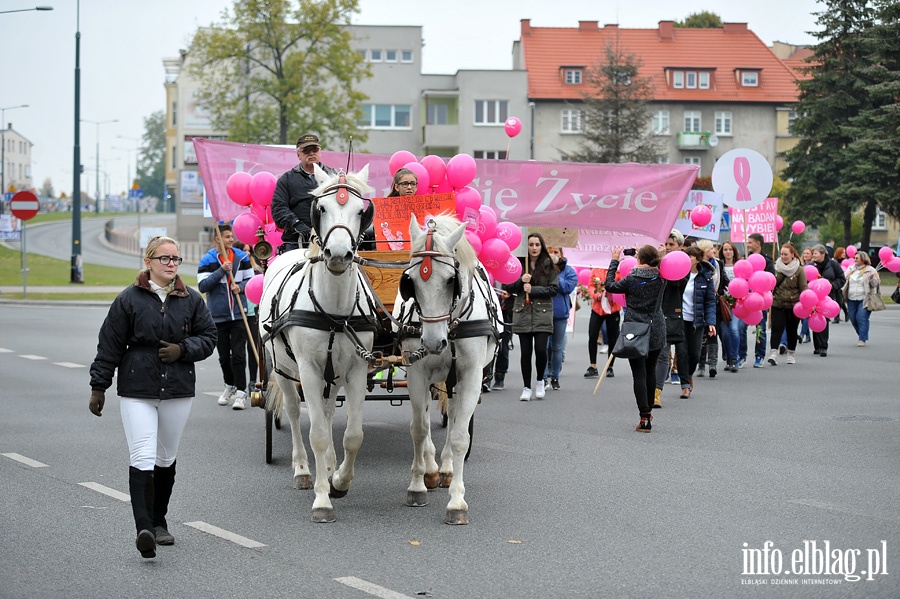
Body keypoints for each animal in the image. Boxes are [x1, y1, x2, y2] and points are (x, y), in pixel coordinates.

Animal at [258, 165, 378, 524]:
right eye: (321, 208)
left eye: (361, 211)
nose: (338, 255)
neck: (334, 311)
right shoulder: (309, 371)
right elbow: (318, 434)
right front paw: (322, 500)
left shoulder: (355, 370)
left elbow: (353, 435)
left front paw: (338, 481)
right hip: (283, 370)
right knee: (294, 412)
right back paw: (302, 470)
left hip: (332, 375)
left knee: (325, 411)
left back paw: (327, 467)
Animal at [394, 216, 506, 524]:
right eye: (410, 281)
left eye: (450, 281)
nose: (434, 343)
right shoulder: (416, 373)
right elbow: (419, 429)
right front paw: (417, 485)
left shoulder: (470, 376)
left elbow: (459, 437)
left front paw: (456, 502)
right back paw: (432, 469)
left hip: (456, 380)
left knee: (455, 415)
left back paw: (445, 468)